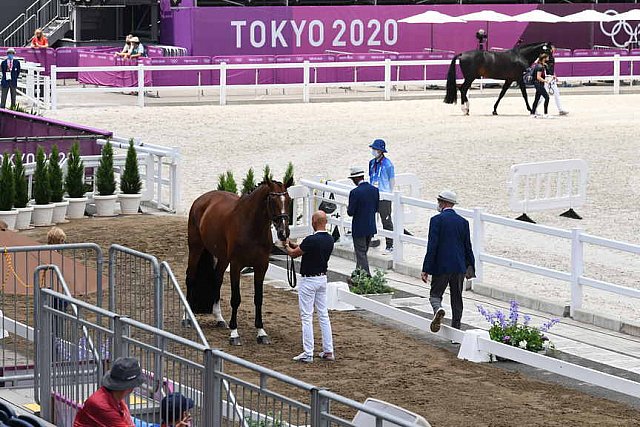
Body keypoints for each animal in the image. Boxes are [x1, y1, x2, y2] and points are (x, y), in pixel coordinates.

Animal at [186, 178, 294, 348]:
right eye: (272, 200)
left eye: (288, 200)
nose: (284, 233)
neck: (251, 227)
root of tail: (202, 199)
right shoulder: (236, 266)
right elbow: (236, 299)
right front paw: (234, 333)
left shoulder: (261, 267)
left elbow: (258, 298)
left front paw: (261, 332)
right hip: (196, 248)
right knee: (190, 277)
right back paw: (187, 318)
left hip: (223, 258)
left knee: (217, 279)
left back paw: (219, 318)